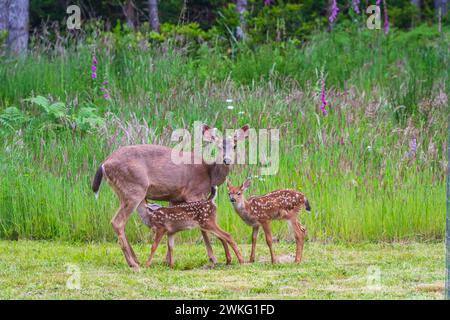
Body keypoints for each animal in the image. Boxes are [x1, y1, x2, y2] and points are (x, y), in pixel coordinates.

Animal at [91, 124, 250, 268]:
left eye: (235, 146)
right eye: (218, 146)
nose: (227, 160)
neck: (210, 174)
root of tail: (104, 164)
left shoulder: (175, 197)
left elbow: (173, 230)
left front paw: (167, 260)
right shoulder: (194, 193)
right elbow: (202, 228)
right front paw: (214, 258)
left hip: (123, 192)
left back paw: (136, 260)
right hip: (134, 189)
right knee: (117, 222)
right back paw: (133, 263)